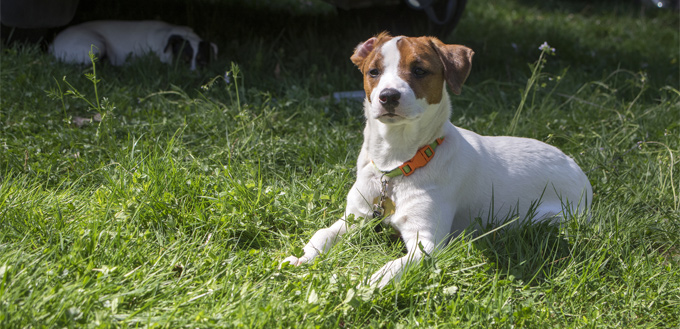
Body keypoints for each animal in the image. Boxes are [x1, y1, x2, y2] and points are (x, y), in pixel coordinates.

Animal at [280, 33, 588, 288]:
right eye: (373, 72)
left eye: (419, 70)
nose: (388, 96)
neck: (396, 165)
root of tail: (575, 164)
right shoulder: (356, 216)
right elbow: (322, 234)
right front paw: (302, 257)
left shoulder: (427, 242)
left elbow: (394, 267)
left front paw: (368, 282)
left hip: (551, 218)